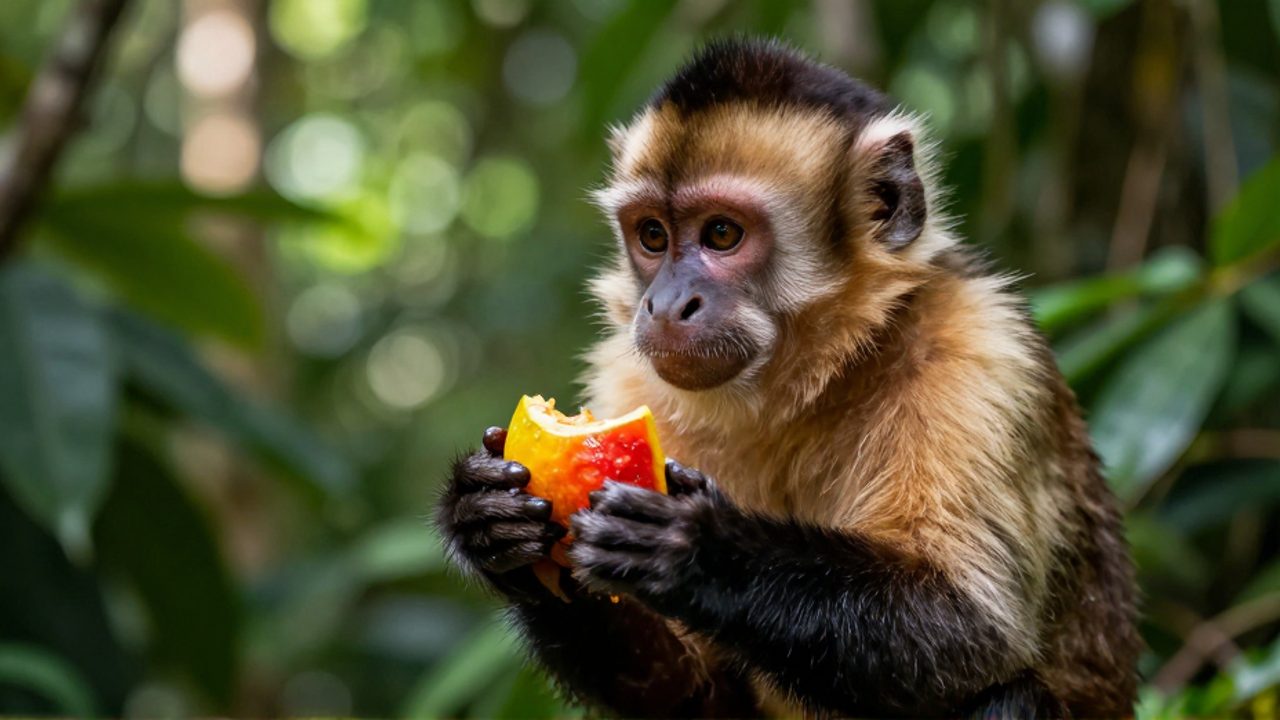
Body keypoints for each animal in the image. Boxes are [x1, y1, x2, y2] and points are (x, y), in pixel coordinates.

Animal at [437, 38, 1140, 718]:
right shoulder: (629, 381)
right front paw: (490, 527)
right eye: (653, 237)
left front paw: (698, 547)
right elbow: (696, 697)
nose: (666, 303)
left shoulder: (977, 345)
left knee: (1010, 696)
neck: (802, 385)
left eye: (722, 233)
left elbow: (971, 629)